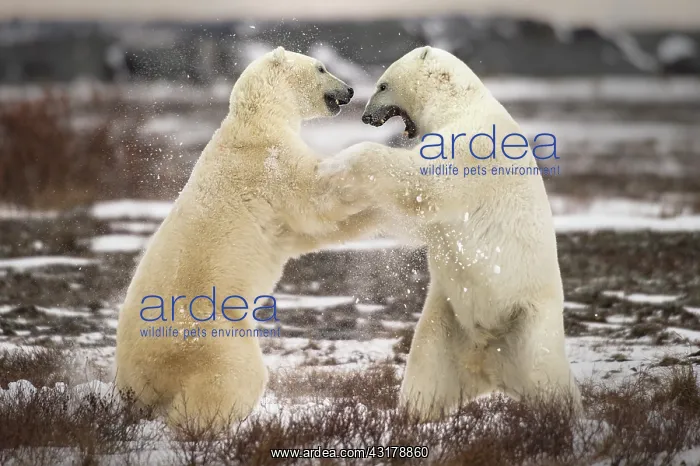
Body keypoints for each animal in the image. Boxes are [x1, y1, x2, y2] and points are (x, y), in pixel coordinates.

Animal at [116, 47, 376, 429]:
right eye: (321, 67)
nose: (350, 90)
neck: (256, 122)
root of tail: (138, 384)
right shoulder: (269, 165)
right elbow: (315, 195)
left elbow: (310, 232)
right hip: (209, 336)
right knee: (232, 378)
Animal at [320, 46, 580, 419]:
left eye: (383, 85)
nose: (366, 116)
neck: (460, 104)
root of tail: (490, 359)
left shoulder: (472, 143)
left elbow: (424, 184)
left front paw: (339, 162)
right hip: (448, 320)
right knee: (426, 370)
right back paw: (413, 415)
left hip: (529, 321)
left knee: (549, 377)